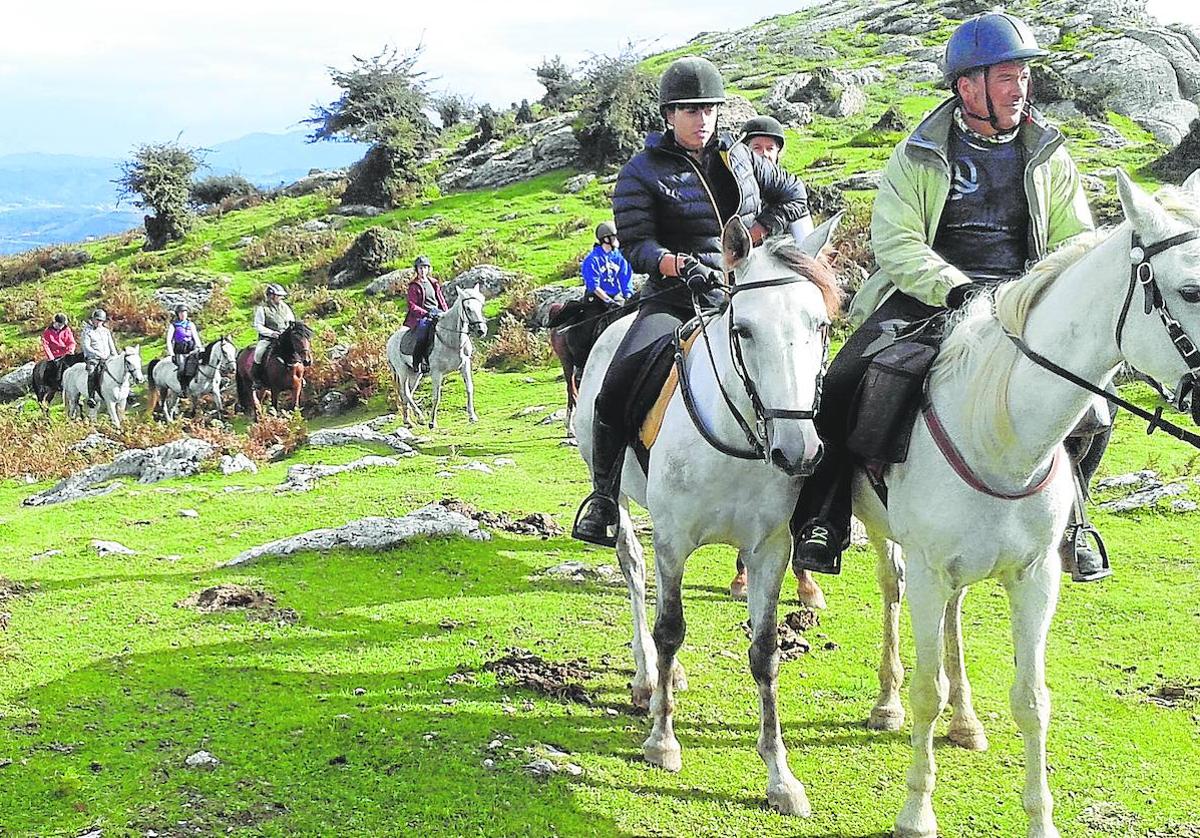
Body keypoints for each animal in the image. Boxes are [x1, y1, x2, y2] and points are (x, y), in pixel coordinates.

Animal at [391, 284, 489, 427]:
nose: (481, 331)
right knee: (405, 392)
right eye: (468, 308)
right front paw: (432, 422)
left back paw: (408, 420)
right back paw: (419, 417)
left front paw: (472, 416)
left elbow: (469, 388)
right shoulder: (437, 372)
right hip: (402, 372)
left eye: (481, 305)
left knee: (408, 393)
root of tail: (390, 340)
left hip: (415, 373)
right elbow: (436, 396)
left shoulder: (465, 365)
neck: (451, 340)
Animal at [573, 214, 840, 811]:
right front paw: (662, 740)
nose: (799, 451)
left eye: (820, 325)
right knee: (633, 572)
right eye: (744, 329)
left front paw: (780, 776)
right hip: (618, 499)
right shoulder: (673, 540)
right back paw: (648, 676)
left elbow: (764, 652)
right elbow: (671, 628)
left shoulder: (770, 550)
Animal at [864, 169, 1200, 835]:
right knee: (892, 594)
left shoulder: (1035, 576)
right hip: (893, 546)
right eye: (1191, 289)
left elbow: (1031, 699)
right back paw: (886, 703)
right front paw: (916, 811)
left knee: (955, 620)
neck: (1001, 434)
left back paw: (966, 721)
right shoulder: (930, 571)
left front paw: (1041, 818)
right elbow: (924, 691)